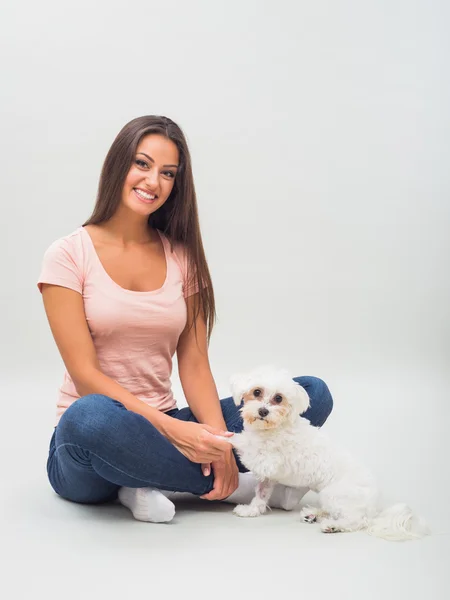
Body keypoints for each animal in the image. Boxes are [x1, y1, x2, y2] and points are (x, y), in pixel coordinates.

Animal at [223, 364, 428, 540]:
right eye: (256, 392)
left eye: (279, 398)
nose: (263, 411)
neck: (273, 427)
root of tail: (376, 508)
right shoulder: (268, 476)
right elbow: (261, 495)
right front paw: (251, 510)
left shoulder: (265, 460)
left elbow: (241, 443)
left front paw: (222, 437)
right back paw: (313, 514)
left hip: (334, 494)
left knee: (357, 521)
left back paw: (333, 526)